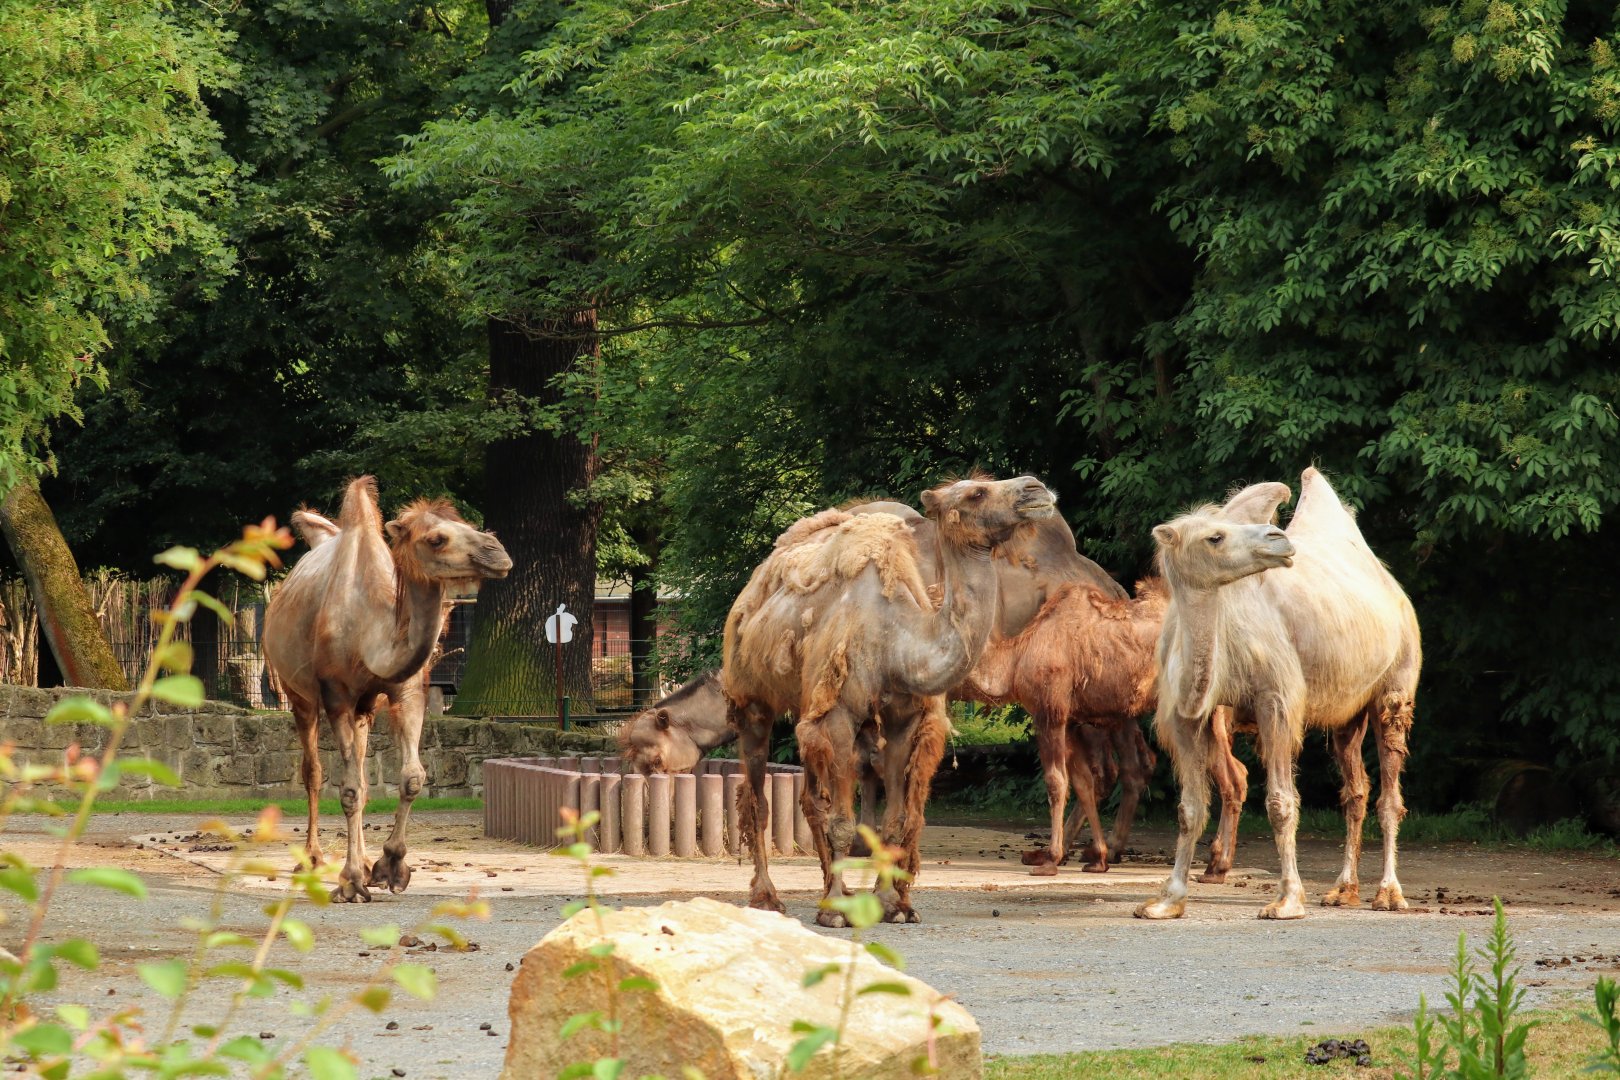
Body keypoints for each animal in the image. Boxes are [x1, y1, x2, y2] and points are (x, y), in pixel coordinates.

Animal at [263, 477, 513, 902]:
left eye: (466, 523)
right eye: (436, 539)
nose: (498, 552)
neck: (368, 631)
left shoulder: (404, 692)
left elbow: (411, 778)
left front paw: (388, 867)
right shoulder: (337, 696)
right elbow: (347, 789)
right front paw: (351, 882)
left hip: (365, 708)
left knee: (362, 772)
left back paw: (362, 860)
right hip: (299, 697)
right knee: (313, 771)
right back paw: (312, 859)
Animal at [724, 474, 1058, 925]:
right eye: (976, 493)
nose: (1036, 487)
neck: (898, 640)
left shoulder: (901, 719)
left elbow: (894, 822)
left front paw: (892, 905)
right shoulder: (841, 714)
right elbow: (843, 824)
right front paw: (838, 913)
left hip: (808, 705)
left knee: (810, 800)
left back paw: (834, 891)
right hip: (752, 698)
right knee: (757, 799)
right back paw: (769, 897)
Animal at [1135, 467, 1421, 921]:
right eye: (1214, 537)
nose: (1278, 540)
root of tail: (1394, 589)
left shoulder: (1276, 699)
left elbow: (1280, 803)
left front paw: (1288, 899)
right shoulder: (1183, 715)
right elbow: (1189, 809)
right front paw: (1167, 900)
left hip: (1395, 688)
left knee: (1390, 793)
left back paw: (1389, 894)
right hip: (1346, 713)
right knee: (1355, 791)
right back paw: (1343, 890)